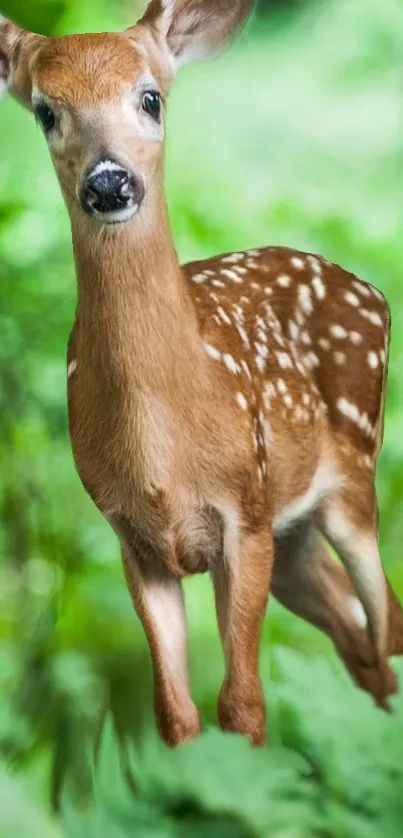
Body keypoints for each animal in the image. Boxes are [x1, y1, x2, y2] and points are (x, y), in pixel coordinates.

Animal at [0, 0, 403, 748]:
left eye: (151, 97)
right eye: (44, 111)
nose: (108, 182)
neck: (163, 451)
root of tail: (368, 288)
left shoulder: (243, 515)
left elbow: (242, 705)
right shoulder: (132, 538)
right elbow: (176, 716)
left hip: (353, 479)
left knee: (384, 620)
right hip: (294, 536)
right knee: (357, 634)